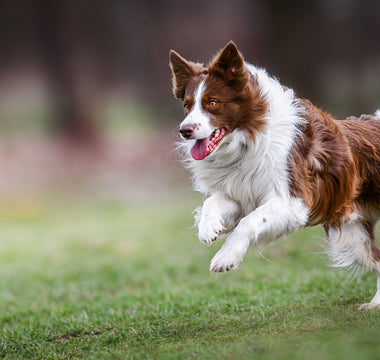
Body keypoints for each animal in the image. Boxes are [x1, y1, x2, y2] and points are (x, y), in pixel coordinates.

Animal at [168, 40, 380, 308]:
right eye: (187, 105)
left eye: (212, 103)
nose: (184, 130)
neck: (247, 139)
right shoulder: (243, 194)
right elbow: (213, 202)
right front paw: (209, 227)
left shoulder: (293, 201)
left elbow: (249, 222)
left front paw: (226, 257)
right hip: (351, 235)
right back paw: (375, 304)